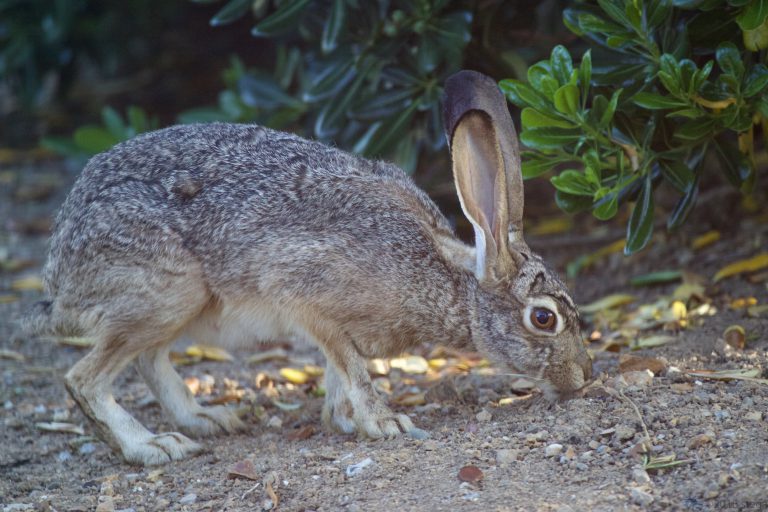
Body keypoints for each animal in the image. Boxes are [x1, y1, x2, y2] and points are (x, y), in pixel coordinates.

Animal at [20, 70, 591, 466]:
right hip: (166, 292)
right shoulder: (308, 298)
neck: (450, 280)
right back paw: (154, 447)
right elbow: (352, 366)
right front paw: (384, 423)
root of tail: (60, 273)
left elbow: (340, 371)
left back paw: (208, 418)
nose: (586, 376)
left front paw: (342, 419)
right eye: (543, 318)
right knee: (84, 379)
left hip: (177, 307)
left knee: (148, 360)